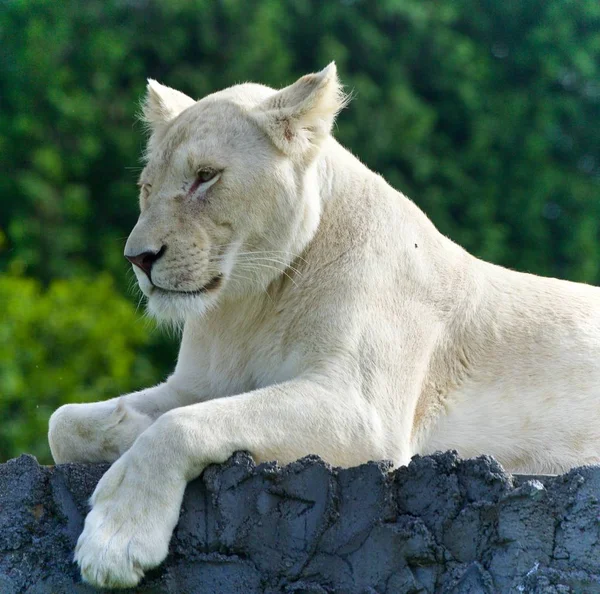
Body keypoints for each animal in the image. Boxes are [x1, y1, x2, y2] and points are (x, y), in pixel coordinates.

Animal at [48, 63, 600, 584]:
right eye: (146, 187)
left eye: (205, 175)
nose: (139, 258)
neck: (252, 303)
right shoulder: (198, 383)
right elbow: (64, 421)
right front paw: (127, 431)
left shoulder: (363, 413)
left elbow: (180, 425)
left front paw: (115, 542)